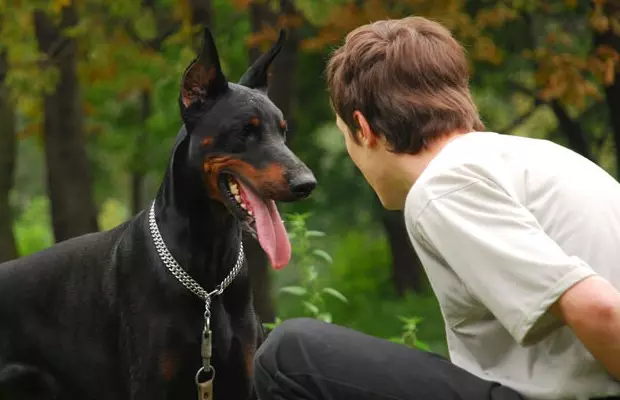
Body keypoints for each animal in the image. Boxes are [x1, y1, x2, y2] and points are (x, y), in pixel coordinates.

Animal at [0, 26, 314, 398]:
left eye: (283, 130)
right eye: (245, 130)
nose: (307, 184)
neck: (207, 276)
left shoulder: (242, 378)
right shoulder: (153, 382)